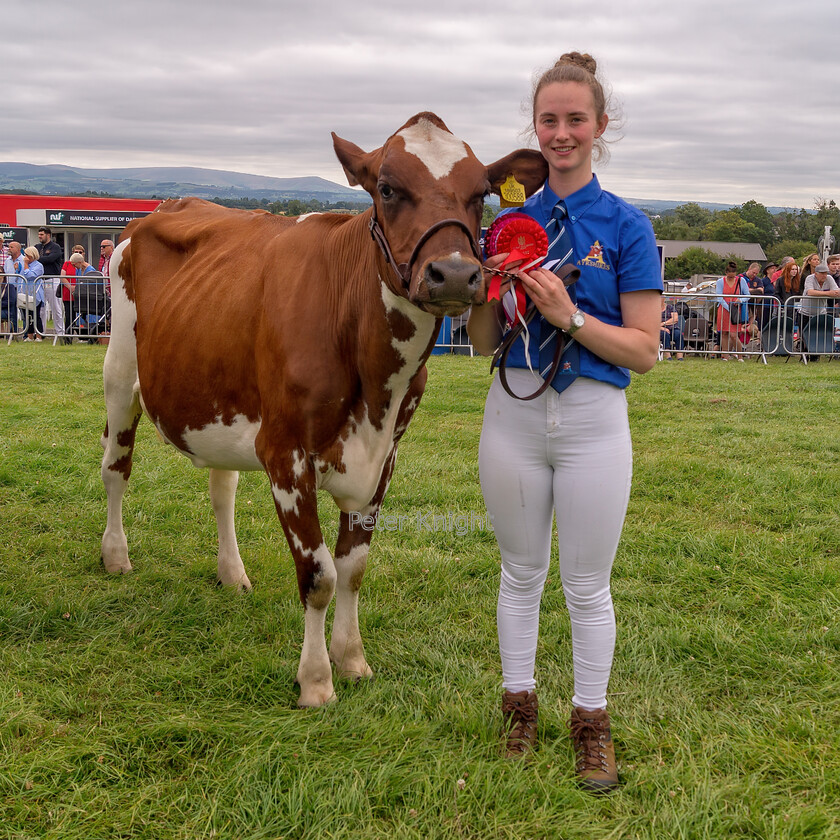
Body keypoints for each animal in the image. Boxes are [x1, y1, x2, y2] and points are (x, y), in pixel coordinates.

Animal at [100, 110, 544, 704]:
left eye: (482, 194)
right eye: (386, 188)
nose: (453, 273)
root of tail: (168, 206)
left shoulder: (385, 455)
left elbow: (352, 567)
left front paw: (351, 658)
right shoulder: (285, 452)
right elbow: (319, 576)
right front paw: (315, 680)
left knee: (221, 489)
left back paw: (231, 572)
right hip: (120, 373)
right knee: (116, 468)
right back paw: (116, 556)